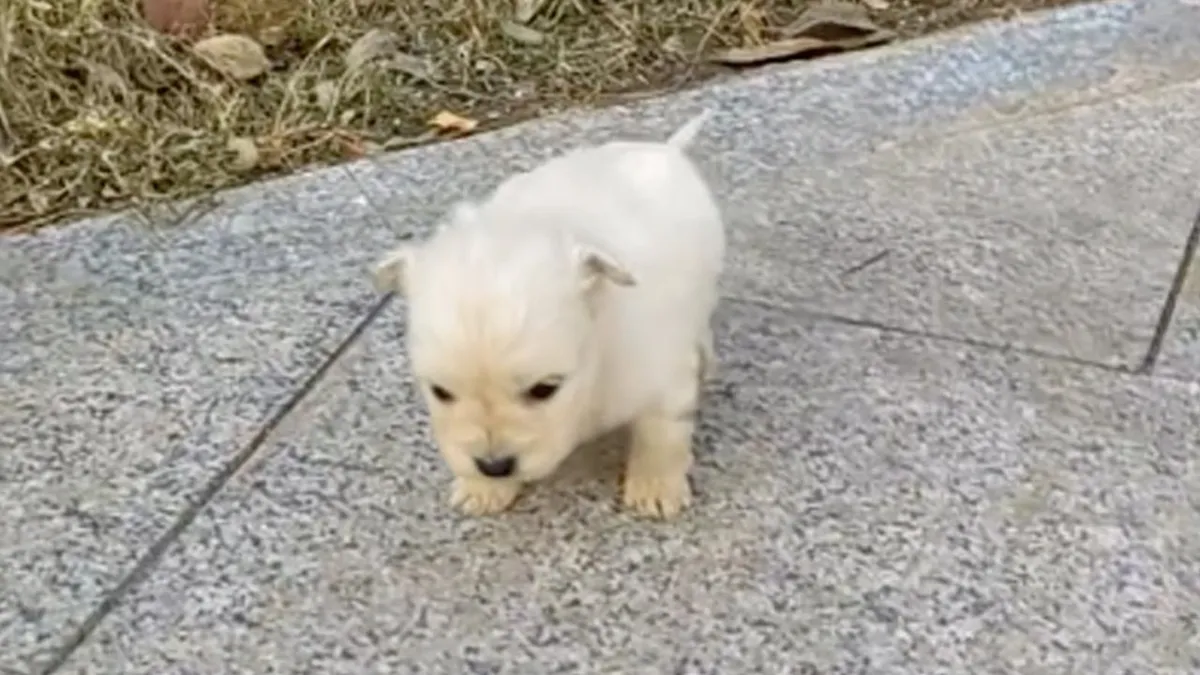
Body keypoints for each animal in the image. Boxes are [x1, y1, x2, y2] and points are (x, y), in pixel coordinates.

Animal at [369, 112, 720, 516]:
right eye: (440, 392)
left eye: (544, 389)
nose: (494, 466)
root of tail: (666, 149)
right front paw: (484, 488)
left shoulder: (660, 373)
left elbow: (661, 432)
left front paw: (655, 486)